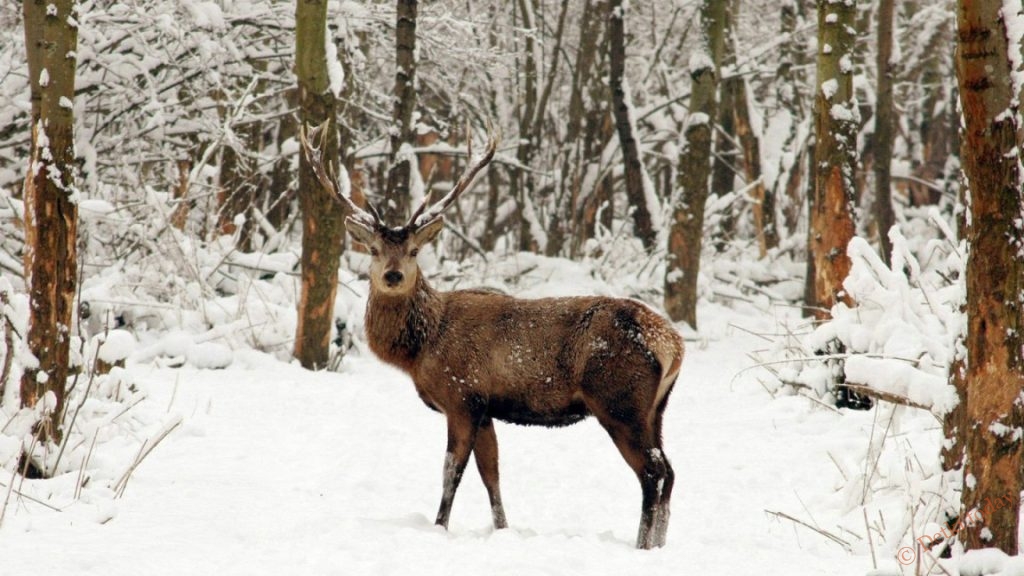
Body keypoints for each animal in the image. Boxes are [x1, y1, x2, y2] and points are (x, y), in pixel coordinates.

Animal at [299, 120, 684, 545]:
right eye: (373, 250)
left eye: (415, 250)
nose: (393, 275)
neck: (421, 348)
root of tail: (672, 344)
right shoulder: (485, 409)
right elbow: (492, 475)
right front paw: (502, 530)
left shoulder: (462, 397)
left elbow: (451, 472)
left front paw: (439, 527)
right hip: (656, 409)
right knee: (670, 472)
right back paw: (659, 546)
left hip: (619, 401)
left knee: (652, 472)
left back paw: (641, 546)